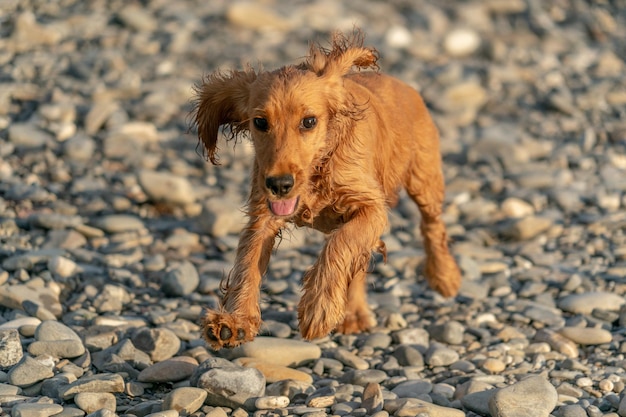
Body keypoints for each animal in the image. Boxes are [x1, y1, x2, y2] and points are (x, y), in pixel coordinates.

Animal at [193, 30, 460, 348]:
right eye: (260, 122)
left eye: (309, 122)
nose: (280, 184)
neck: (318, 167)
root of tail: (404, 85)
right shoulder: (263, 214)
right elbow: (247, 263)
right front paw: (234, 322)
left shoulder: (371, 206)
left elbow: (340, 245)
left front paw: (318, 309)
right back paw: (353, 314)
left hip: (424, 177)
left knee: (433, 226)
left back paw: (444, 277)